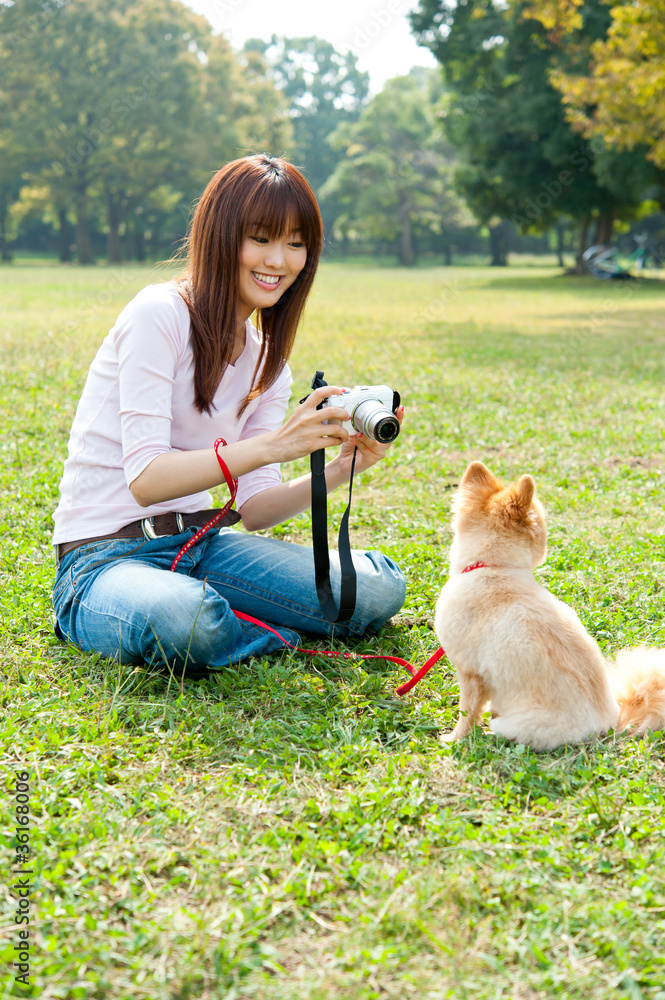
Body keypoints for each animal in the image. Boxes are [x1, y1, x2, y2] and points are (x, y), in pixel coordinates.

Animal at [434, 460, 664, 752]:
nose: (547, 543)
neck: (492, 567)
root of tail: (611, 725)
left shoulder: (470, 674)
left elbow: (467, 713)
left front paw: (455, 738)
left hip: (515, 724)